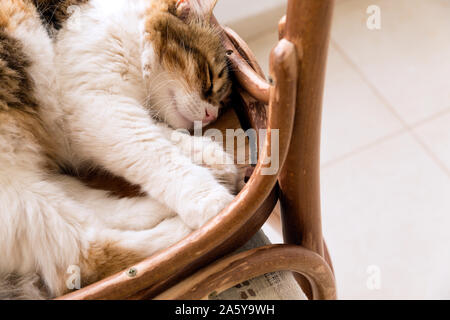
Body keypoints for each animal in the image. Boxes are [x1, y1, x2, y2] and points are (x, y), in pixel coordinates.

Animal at [0, 0, 237, 300]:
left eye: (221, 101)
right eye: (210, 78)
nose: (211, 115)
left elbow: (166, 137)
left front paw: (214, 160)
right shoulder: (101, 106)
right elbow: (160, 155)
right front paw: (210, 198)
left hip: (35, 184)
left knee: (97, 210)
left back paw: (159, 208)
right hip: (21, 196)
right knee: (90, 254)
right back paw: (189, 230)